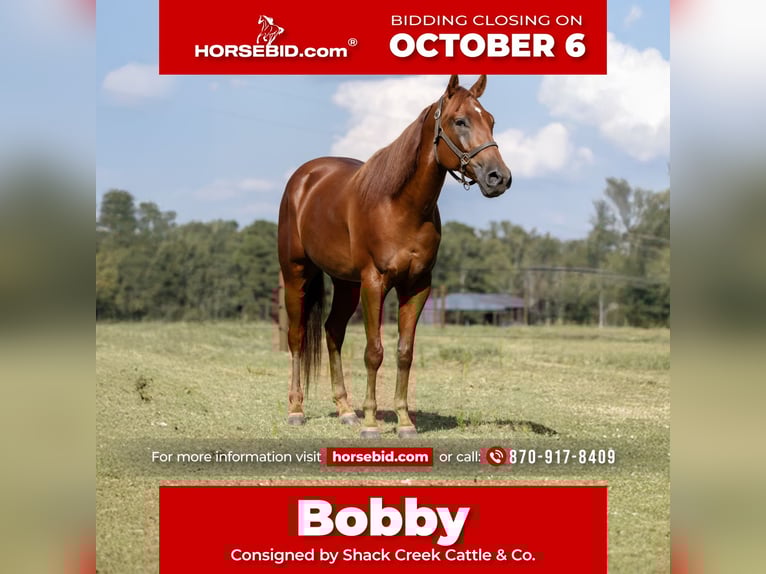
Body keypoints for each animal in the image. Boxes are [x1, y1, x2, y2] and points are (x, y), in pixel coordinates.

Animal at [277, 75, 511, 438]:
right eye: (460, 121)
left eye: (491, 120)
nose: (498, 177)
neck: (400, 206)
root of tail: (304, 178)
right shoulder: (374, 283)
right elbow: (374, 352)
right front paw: (372, 424)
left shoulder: (416, 287)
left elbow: (404, 353)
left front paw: (404, 422)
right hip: (296, 273)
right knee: (298, 337)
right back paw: (296, 410)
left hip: (346, 284)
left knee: (332, 332)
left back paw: (346, 410)